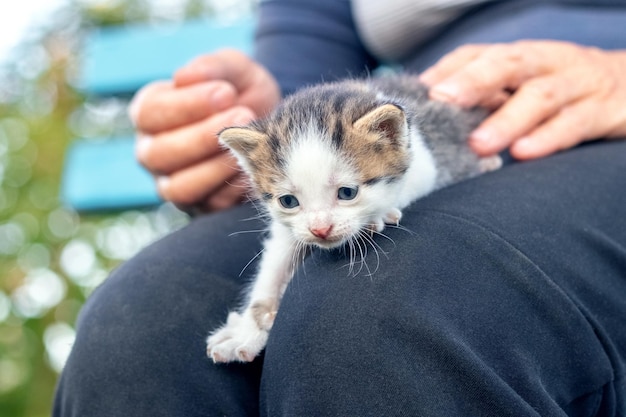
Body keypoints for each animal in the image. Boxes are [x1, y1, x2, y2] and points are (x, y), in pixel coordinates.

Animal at [207, 76, 500, 362]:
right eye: (288, 201)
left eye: (347, 193)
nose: (320, 229)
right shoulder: (288, 230)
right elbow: (273, 264)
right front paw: (247, 330)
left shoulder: (425, 164)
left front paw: (379, 214)